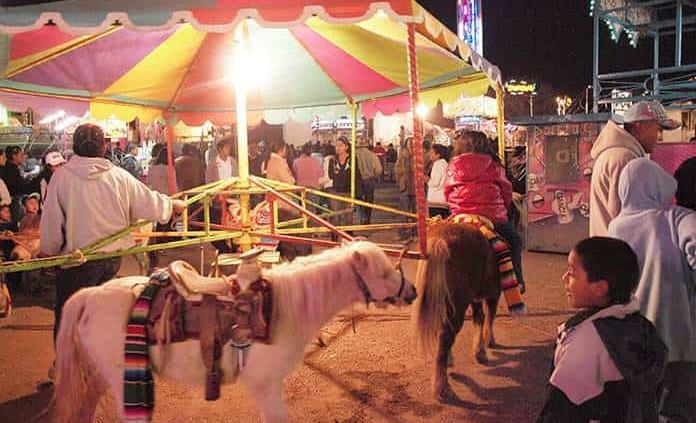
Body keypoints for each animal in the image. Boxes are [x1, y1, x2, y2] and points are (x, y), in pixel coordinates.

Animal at [414, 222, 500, 404]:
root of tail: (439, 239)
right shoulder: (493, 293)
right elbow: (489, 318)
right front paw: (488, 343)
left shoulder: (476, 297)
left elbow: (479, 319)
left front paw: (480, 351)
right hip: (458, 303)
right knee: (446, 336)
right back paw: (443, 388)